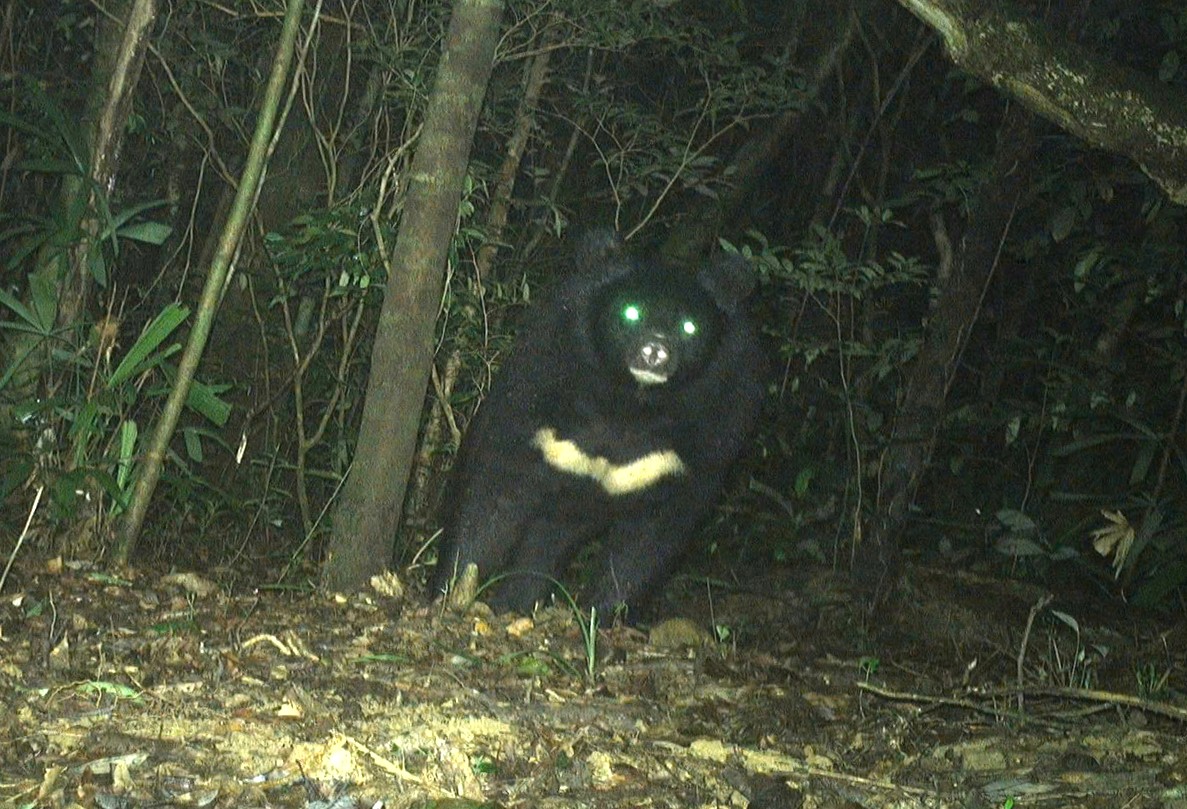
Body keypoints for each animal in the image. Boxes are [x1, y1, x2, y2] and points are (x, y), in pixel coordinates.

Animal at [432, 231, 764, 612]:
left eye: (689, 326)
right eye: (630, 312)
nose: (655, 350)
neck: (630, 403)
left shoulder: (701, 443)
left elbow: (649, 540)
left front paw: (602, 612)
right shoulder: (537, 398)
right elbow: (492, 498)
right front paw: (450, 594)